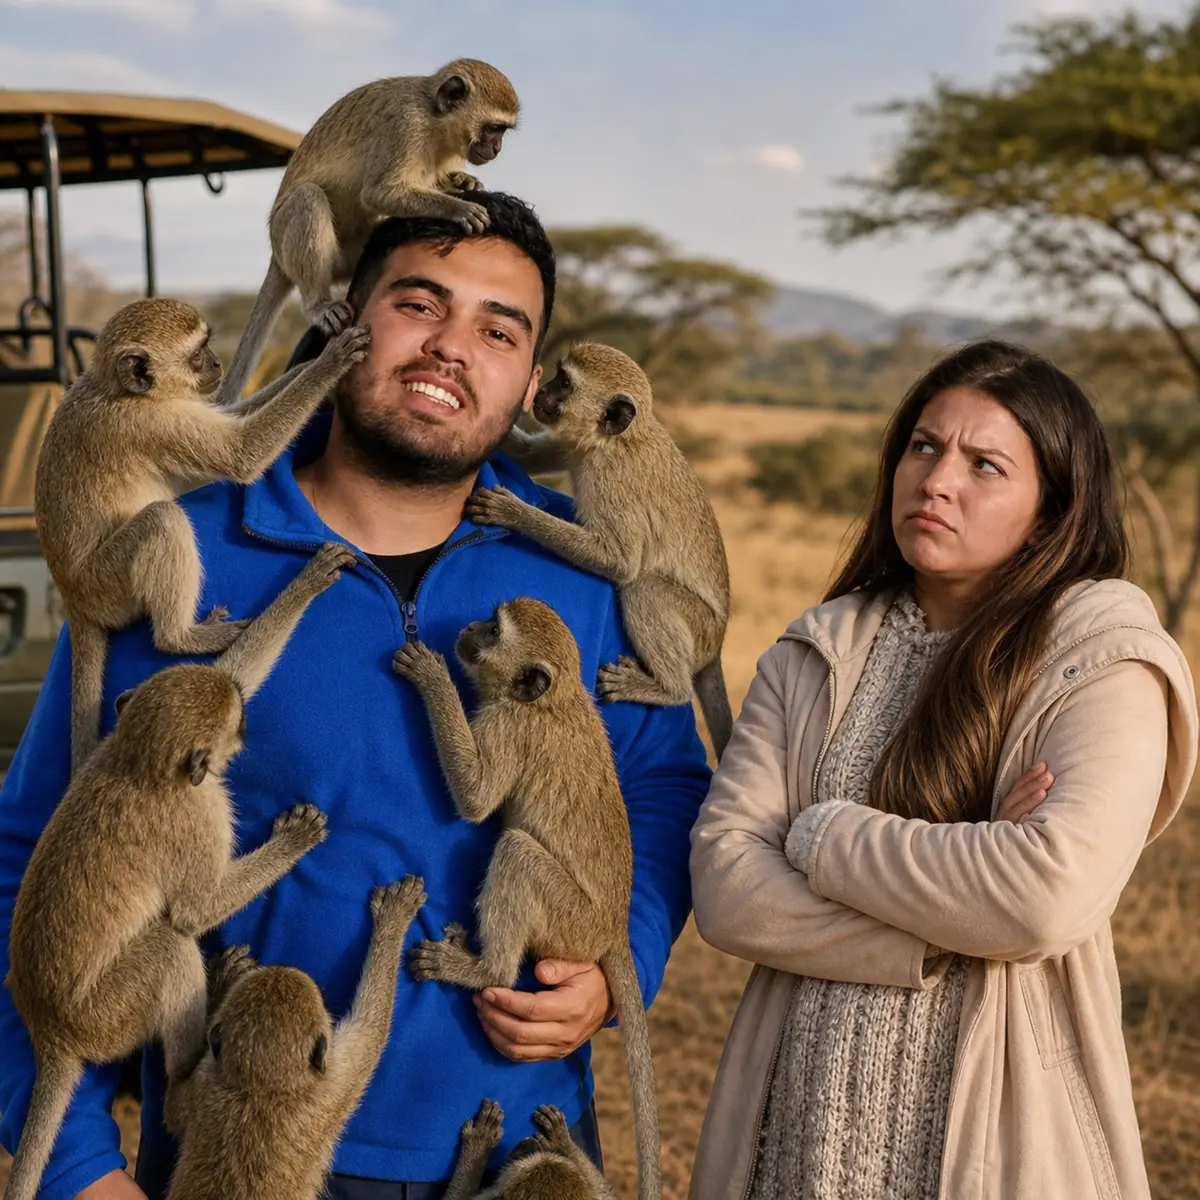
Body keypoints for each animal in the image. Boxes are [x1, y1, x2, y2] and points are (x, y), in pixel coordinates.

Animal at [2, 541, 356, 1200]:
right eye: (238, 725)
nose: (249, 725)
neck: (135, 761)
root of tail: (52, 1032)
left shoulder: (106, 743)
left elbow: (239, 666)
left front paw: (305, 584)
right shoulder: (199, 814)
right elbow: (193, 910)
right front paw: (292, 841)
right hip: (108, 1016)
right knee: (169, 948)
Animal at [33, 296, 369, 772]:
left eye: (208, 346)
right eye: (196, 355)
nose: (215, 364)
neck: (114, 387)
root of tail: (72, 597)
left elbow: (230, 416)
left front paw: (311, 360)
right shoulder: (154, 421)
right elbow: (241, 453)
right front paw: (331, 364)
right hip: (105, 585)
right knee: (162, 519)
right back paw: (180, 637)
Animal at [162, 874, 428, 1200]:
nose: (282, 966)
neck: (261, 1089)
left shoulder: (205, 1082)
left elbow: (173, 1104)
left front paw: (219, 985)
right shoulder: (330, 1090)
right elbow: (373, 1028)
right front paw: (393, 919)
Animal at [219, 58, 520, 407]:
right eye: (495, 128)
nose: (496, 148)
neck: (435, 118)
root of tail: (276, 256)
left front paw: (463, 182)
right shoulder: (406, 126)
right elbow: (379, 193)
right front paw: (457, 208)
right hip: (291, 239)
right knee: (307, 198)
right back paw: (318, 304)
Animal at [475, 343, 733, 759]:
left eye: (565, 383)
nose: (542, 393)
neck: (614, 441)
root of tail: (718, 645)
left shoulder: (612, 482)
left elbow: (622, 563)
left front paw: (513, 512)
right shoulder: (577, 446)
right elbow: (528, 454)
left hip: (700, 627)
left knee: (645, 587)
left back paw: (668, 689)